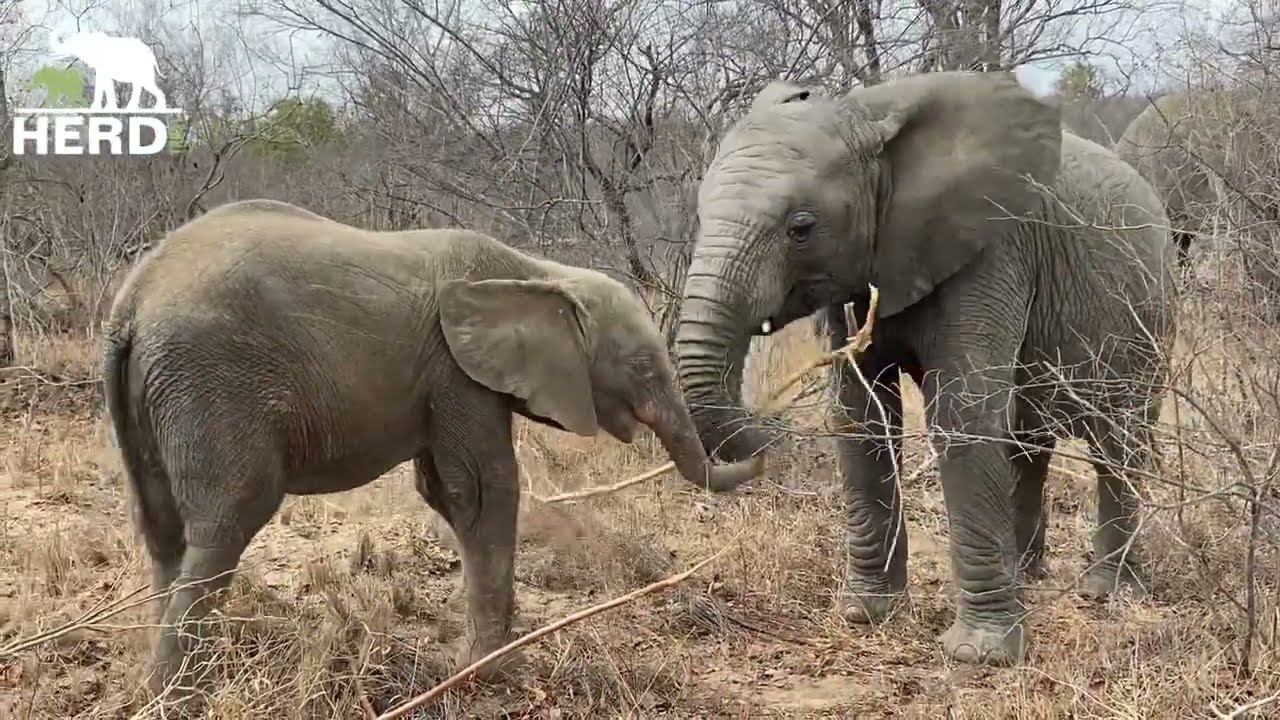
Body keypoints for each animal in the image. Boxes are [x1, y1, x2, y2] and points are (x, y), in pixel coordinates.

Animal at [101, 198, 763, 704]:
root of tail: (133, 303)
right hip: (213, 384)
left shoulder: (444, 380)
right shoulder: (457, 373)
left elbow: (444, 493)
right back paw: (178, 697)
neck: (537, 272)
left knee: (160, 526)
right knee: (227, 522)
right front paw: (491, 670)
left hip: (151, 397)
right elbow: (484, 490)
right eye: (644, 367)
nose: (765, 450)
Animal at [674, 71, 1177, 666]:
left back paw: (1106, 592)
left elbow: (962, 410)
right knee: (1028, 442)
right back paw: (1028, 576)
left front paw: (980, 655)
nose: (761, 440)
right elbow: (859, 415)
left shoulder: (994, 248)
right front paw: (865, 616)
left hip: (1147, 317)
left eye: (801, 227)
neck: (868, 117)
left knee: (1117, 442)